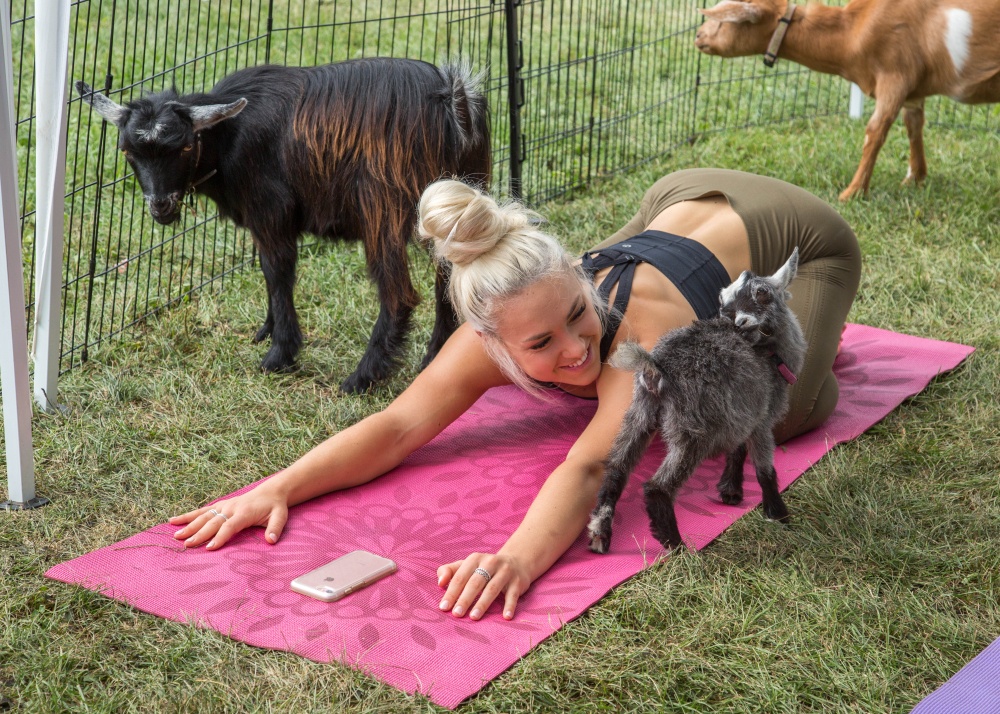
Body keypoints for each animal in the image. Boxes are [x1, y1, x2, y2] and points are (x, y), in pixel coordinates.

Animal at [76, 58, 490, 392]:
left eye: (185, 147)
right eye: (128, 151)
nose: (160, 205)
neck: (229, 136)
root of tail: (453, 100)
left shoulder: (271, 211)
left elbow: (277, 273)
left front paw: (280, 355)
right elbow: (267, 271)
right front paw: (267, 331)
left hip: (382, 208)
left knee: (399, 294)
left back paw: (362, 378)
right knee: (448, 282)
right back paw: (433, 359)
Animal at [584, 248, 804, 552]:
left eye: (761, 293)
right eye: (724, 298)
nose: (737, 320)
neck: (769, 353)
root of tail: (656, 367)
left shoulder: (741, 411)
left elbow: (737, 450)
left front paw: (731, 492)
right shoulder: (761, 418)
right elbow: (764, 470)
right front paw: (778, 515)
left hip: (641, 412)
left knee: (618, 466)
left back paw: (600, 533)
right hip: (692, 430)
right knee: (658, 486)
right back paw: (676, 545)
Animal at [696, 0, 1000, 200]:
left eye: (725, 20)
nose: (698, 36)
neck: (853, 30)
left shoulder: (895, 76)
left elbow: (875, 132)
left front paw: (852, 193)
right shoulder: (913, 91)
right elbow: (913, 124)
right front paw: (915, 177)